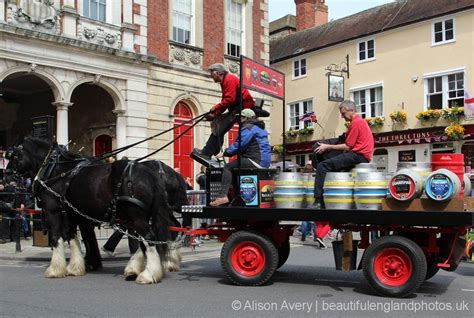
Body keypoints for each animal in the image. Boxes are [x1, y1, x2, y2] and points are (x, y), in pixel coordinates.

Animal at [7, 137, 178, 284]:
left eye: (13, 155)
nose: (7, 173)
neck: (55, 170)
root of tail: (150, 173)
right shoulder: (72, 215)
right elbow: (73, 238)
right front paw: (75, 268)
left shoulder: (53, 211)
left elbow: (57, 238)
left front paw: (55, 270)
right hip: (138, 216)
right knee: (146, 240)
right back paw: (136, 269)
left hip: (137, 216)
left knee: (149, 238)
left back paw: (148, 274)